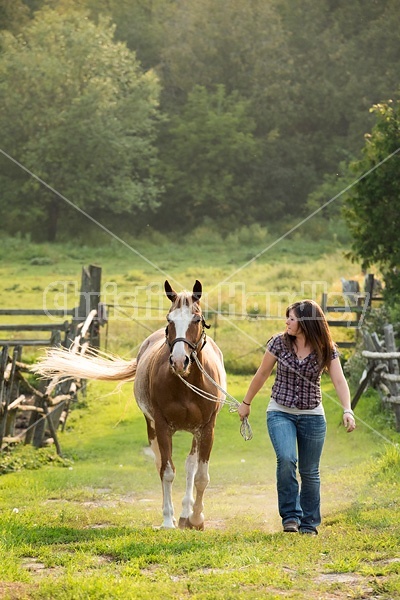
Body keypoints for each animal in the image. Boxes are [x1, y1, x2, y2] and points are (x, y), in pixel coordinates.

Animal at [32, 282, 227, 528]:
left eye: (197, 319)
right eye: (169, 319)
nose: (179, 361)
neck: (186, 384)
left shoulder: (207, 428)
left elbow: (201, 476)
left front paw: (197, 518)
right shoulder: (162, 426)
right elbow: (167, 471)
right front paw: (167, 521)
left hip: (195, 432)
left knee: (190, 466)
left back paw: (185, 514)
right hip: (153, 428)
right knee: (161, 464)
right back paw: (174, 515)